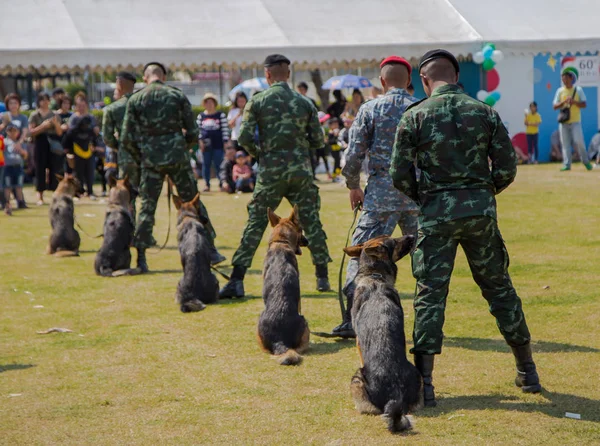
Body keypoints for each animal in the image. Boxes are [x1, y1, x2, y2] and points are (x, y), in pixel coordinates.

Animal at [344, 235, 424, 434]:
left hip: (356, 378)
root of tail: (395, 395)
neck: (375, 277)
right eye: (395, 240)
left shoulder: (358, 343)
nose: (412, 236)